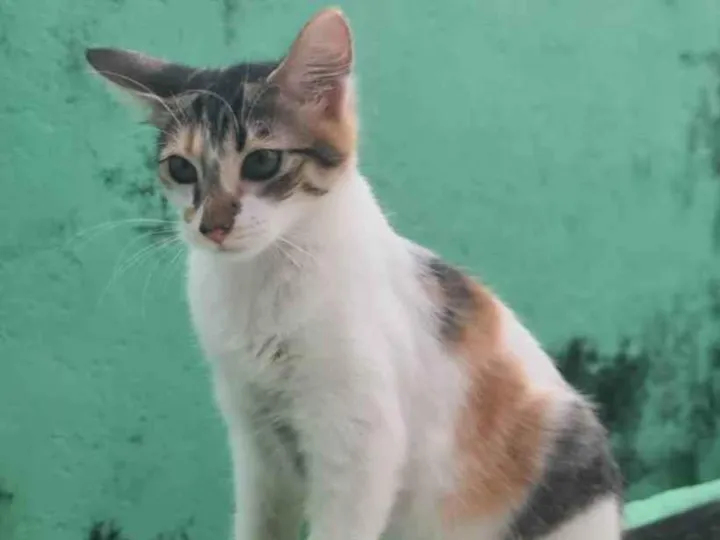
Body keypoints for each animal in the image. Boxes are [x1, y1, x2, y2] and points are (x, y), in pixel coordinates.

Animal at [85, 7, 623, 540]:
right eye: (181, 169)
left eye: (262, 161)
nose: (212, 226)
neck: (263, 278)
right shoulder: (255, 438)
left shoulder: (359, 442)